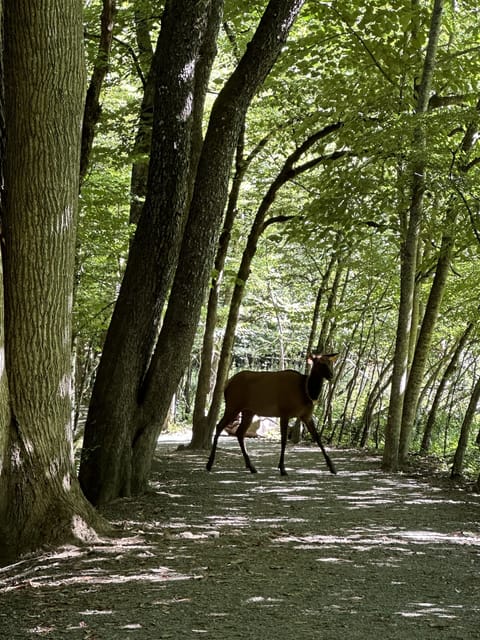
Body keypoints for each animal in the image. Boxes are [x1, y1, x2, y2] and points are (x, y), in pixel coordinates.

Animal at [206, 353, 338, 476]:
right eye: (319, 363)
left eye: (330, 362)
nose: (331, 375)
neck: (306, 392)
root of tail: (227, 383)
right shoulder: (285, 412)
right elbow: (284, 440)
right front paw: (282, 468)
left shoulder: (306, 416)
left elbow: (318, 438)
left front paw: (332, 467)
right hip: (233, 406)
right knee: (219, 426)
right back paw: (209, 464)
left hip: (248, 411)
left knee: (239, 433)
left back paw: (251, 466)